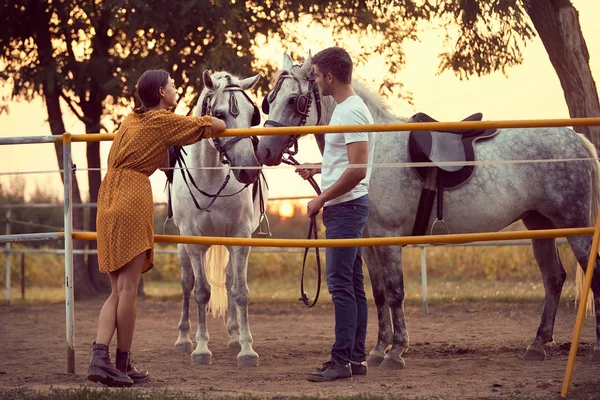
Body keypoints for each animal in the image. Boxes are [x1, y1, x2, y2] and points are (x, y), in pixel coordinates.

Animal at [172, 70, 268, 368]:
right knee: (186, 282)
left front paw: (246, 349)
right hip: (183, 246)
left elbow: (240, 292)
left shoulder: (240, 237)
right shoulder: (193, 241)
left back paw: (234, 335)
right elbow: (201, 292)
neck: (211, 177)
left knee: (228, 281)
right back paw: (183, 338)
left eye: (253, 115)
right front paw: (201, 349)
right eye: (220, 114)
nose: (249, 170)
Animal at [255, 52, 600, 368]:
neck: (373, 149)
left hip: (575, 225)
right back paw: (538, 343)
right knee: (553, 278)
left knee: (591, 273)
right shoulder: (368, 241)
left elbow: (395, 291)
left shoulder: (387, 238)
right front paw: (378, 349)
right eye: (269, 100)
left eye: (296, 101)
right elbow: (379, 293)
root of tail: (575, 140)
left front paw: (396, 351)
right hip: (539, 224)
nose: (265, 150)